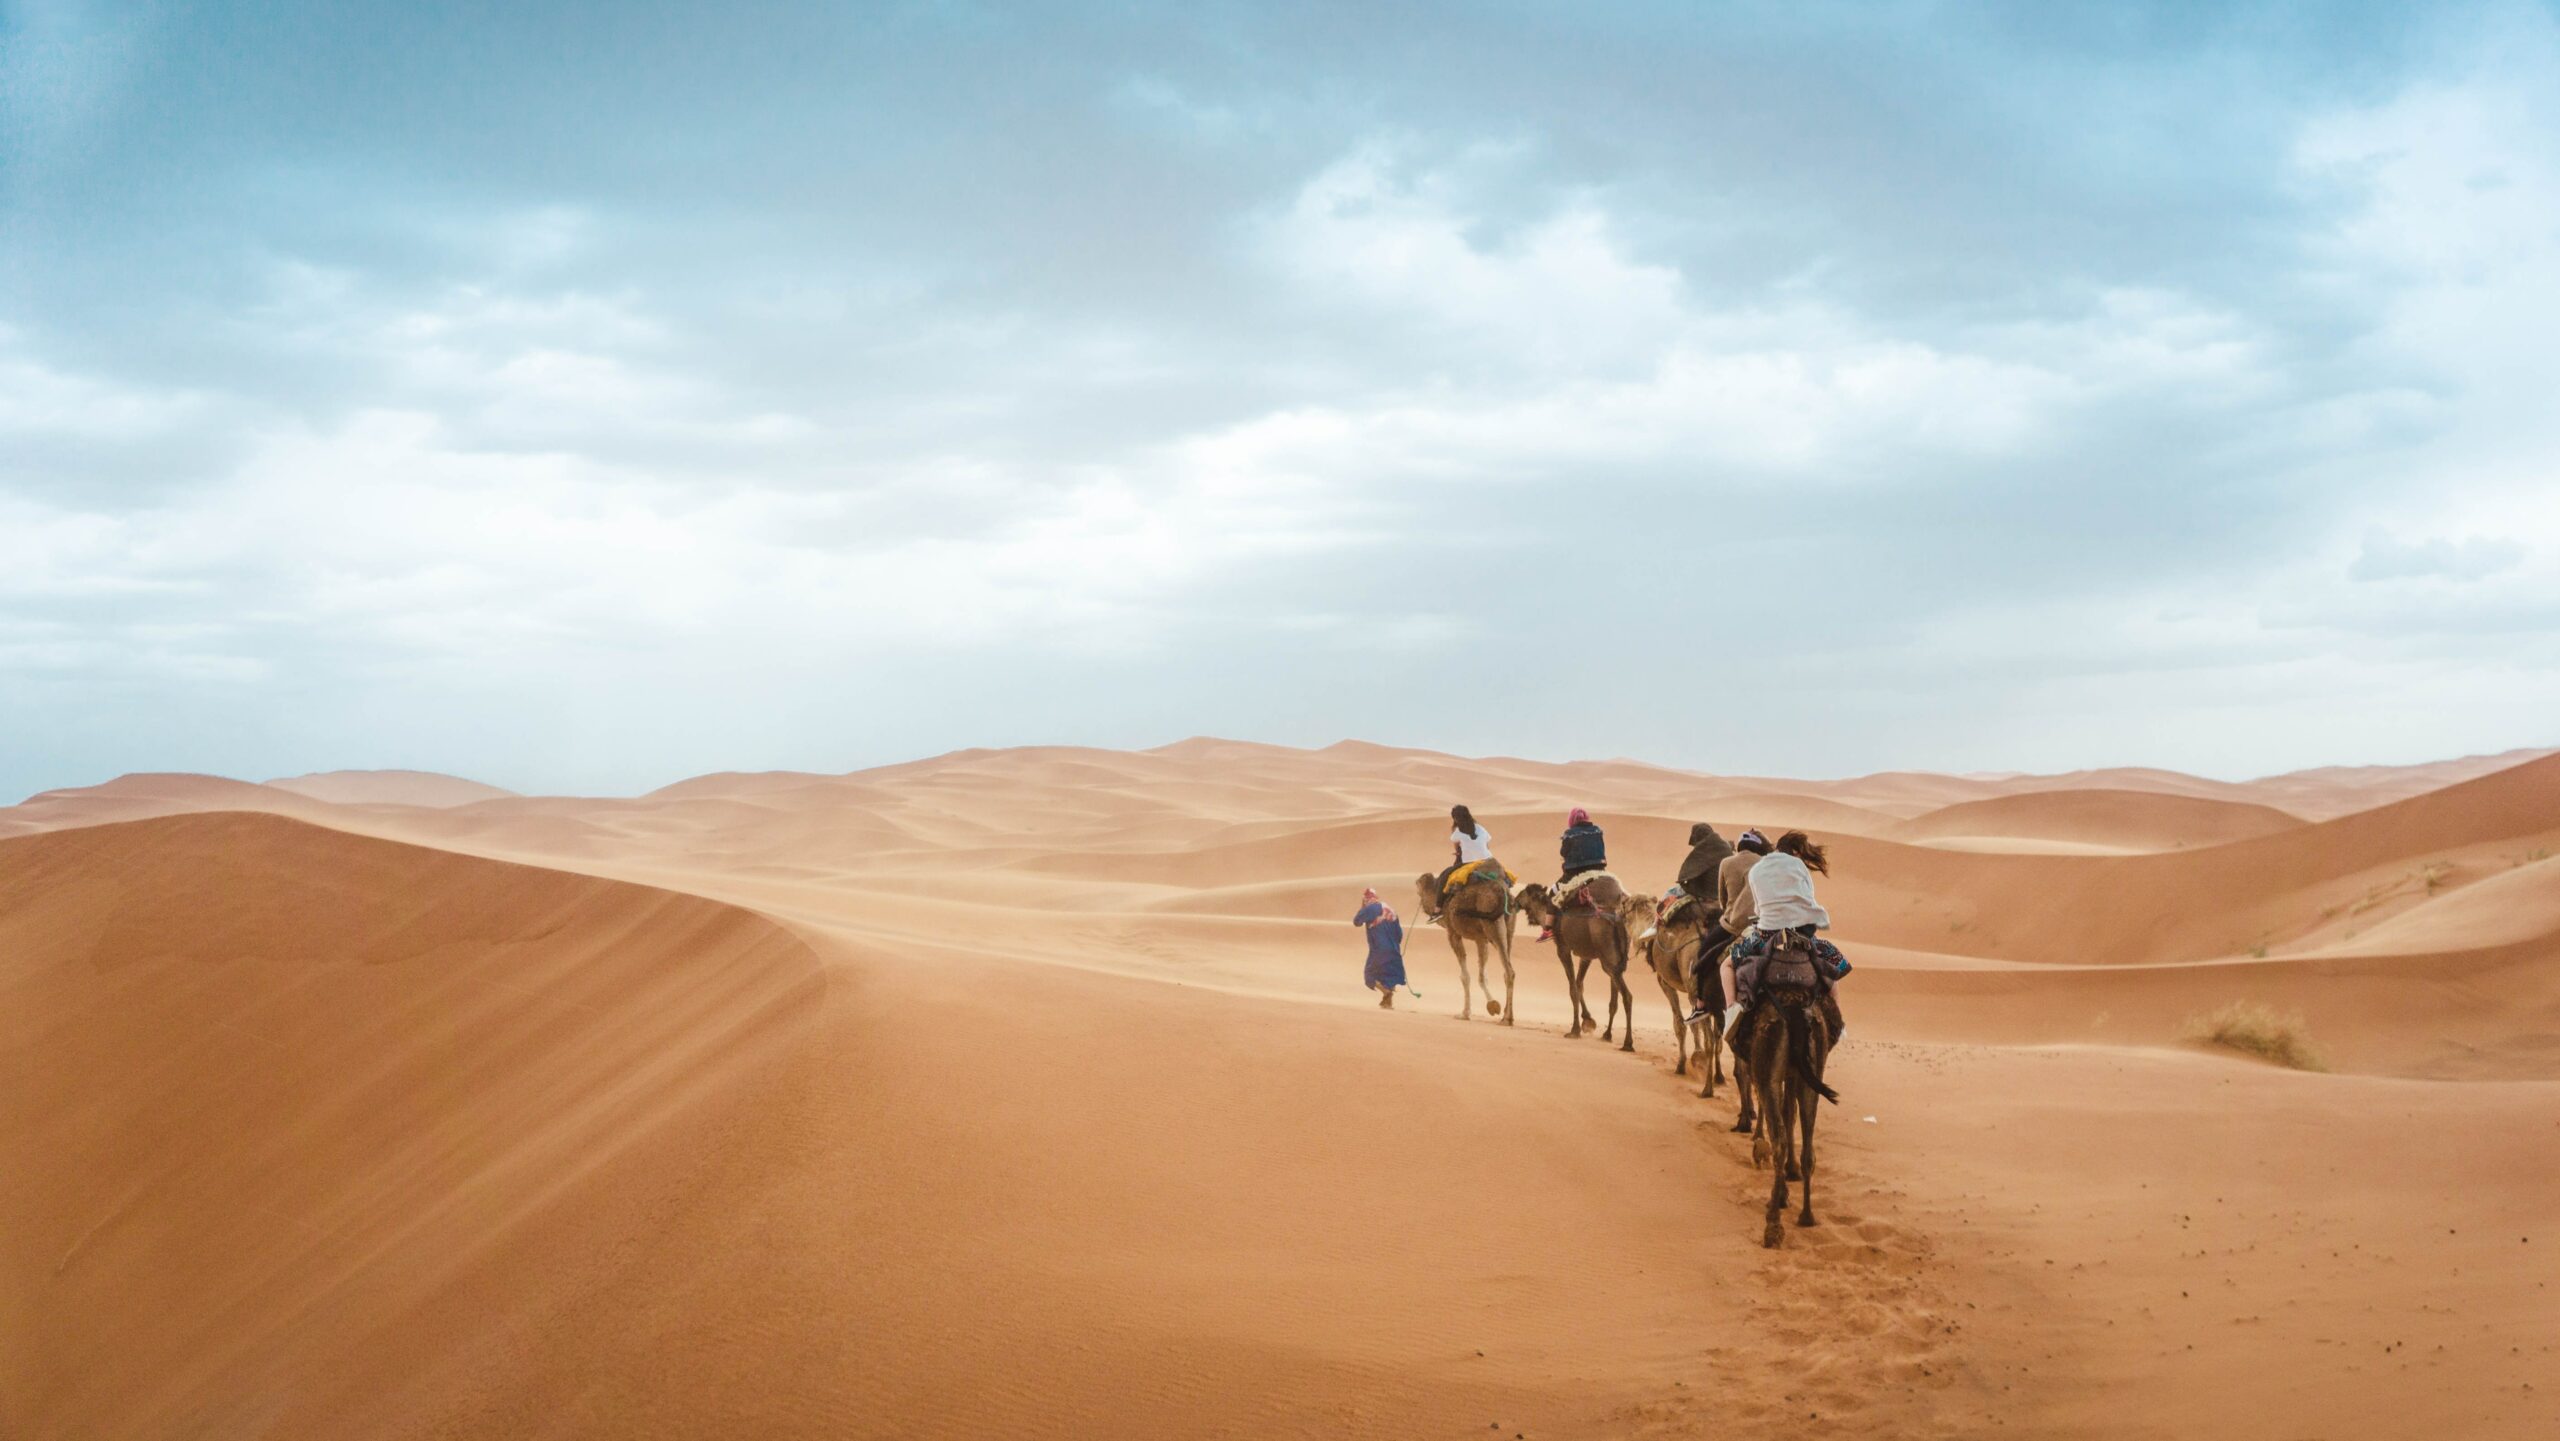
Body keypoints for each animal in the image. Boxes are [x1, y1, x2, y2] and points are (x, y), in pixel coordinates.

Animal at [1413, 870, 1505, 1023]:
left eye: (1418, 887)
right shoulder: (1481, 939)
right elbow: (1482, 975)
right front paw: (1493, 1005)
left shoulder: (1453, 933)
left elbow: (1464, 976)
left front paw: (1465, 1013)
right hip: (1495, 926)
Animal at [1505, 880, 1628, 1049]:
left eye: (1526, 893)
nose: (1514, 900)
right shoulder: (1585, 955)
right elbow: (1579, 984)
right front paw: (1588, 1021)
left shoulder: (1563, 948)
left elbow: (1573, 988)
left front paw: (1576, 1030)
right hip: (1613, 959)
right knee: (1615, 997)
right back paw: (1607, 1035)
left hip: (1607, 958)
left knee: (1622, 993)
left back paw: (1623, 1041)